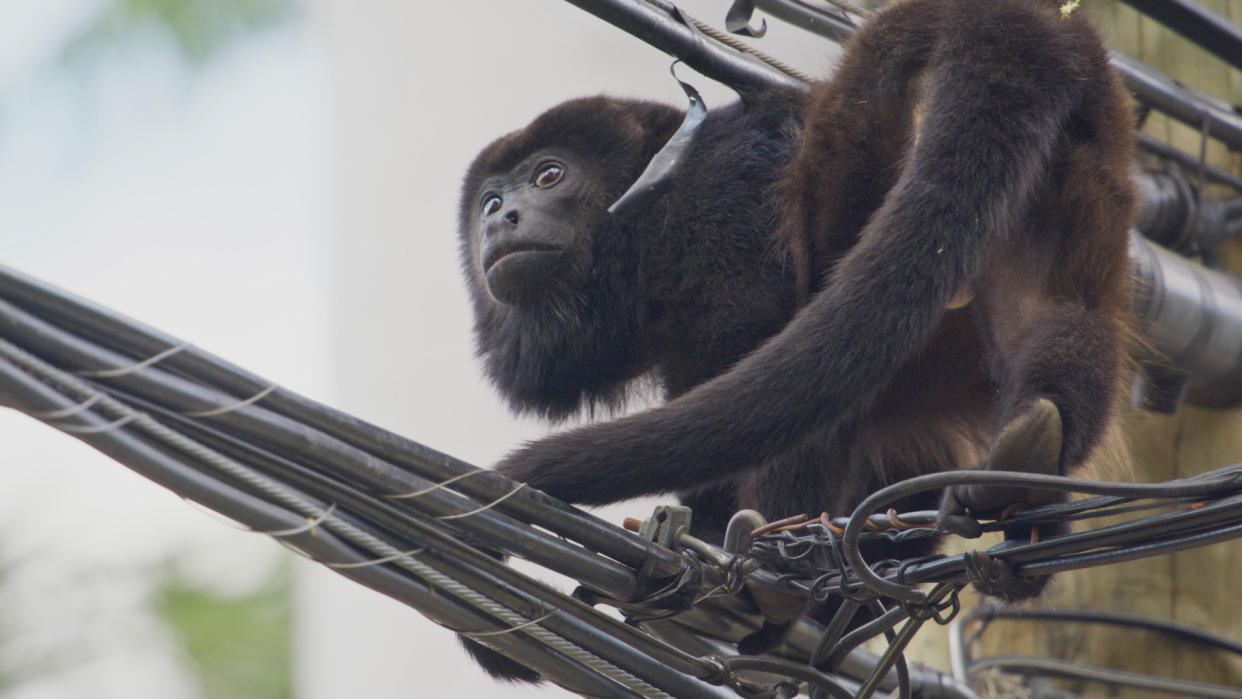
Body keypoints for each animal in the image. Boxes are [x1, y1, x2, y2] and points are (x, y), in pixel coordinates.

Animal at [459, 0, 1137, 685]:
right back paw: (1029, 471)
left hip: (865, 150)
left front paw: (709, 538)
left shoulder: (721, 203)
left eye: (549, 175)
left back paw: (770, 572)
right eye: (489, 201)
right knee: (1056, 314)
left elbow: (748, 347)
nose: (500, 219)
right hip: (1083, 158)